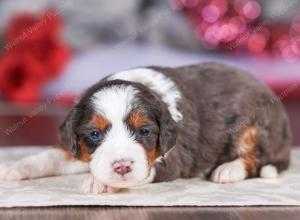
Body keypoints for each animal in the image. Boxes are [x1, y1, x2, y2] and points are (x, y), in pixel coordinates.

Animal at [0, 62, 290, 193]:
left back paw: (228, 170)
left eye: (144, 132)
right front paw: (13, 168)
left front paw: (100, 182)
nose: (121, 166)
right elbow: (48, 156)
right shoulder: (78, 148)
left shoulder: (172, 158)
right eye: (95, 133)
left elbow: (145, 171)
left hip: (254, 127)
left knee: (257, 157)